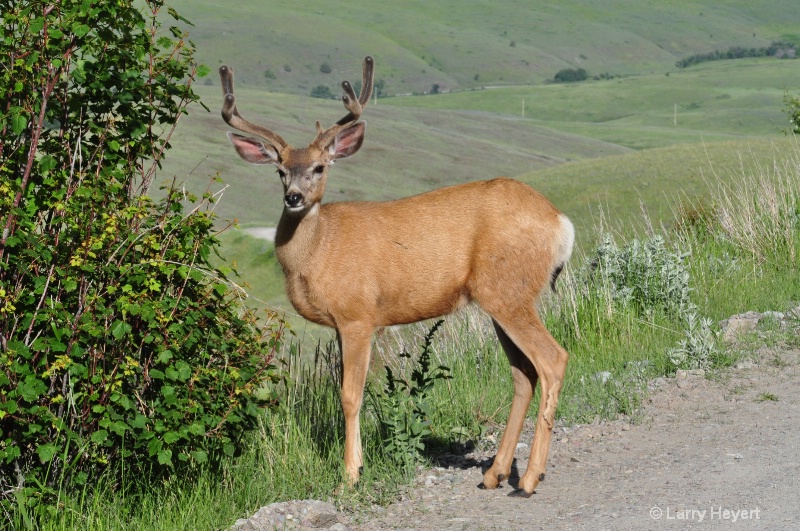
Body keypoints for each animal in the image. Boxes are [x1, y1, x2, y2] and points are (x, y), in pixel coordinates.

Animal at [219, 56, 576, 496]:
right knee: (523, 373)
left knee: (553, 360)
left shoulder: (358, 315)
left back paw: (528, 478)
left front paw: (350, 475)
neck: (319, 250)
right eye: (280, 171)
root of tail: (560, 223)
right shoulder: (340, 325)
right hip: (501, 298)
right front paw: (354, 467)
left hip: (509, 292)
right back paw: (494, 473)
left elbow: (350, 395)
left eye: (319, 168)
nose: (294, 198)